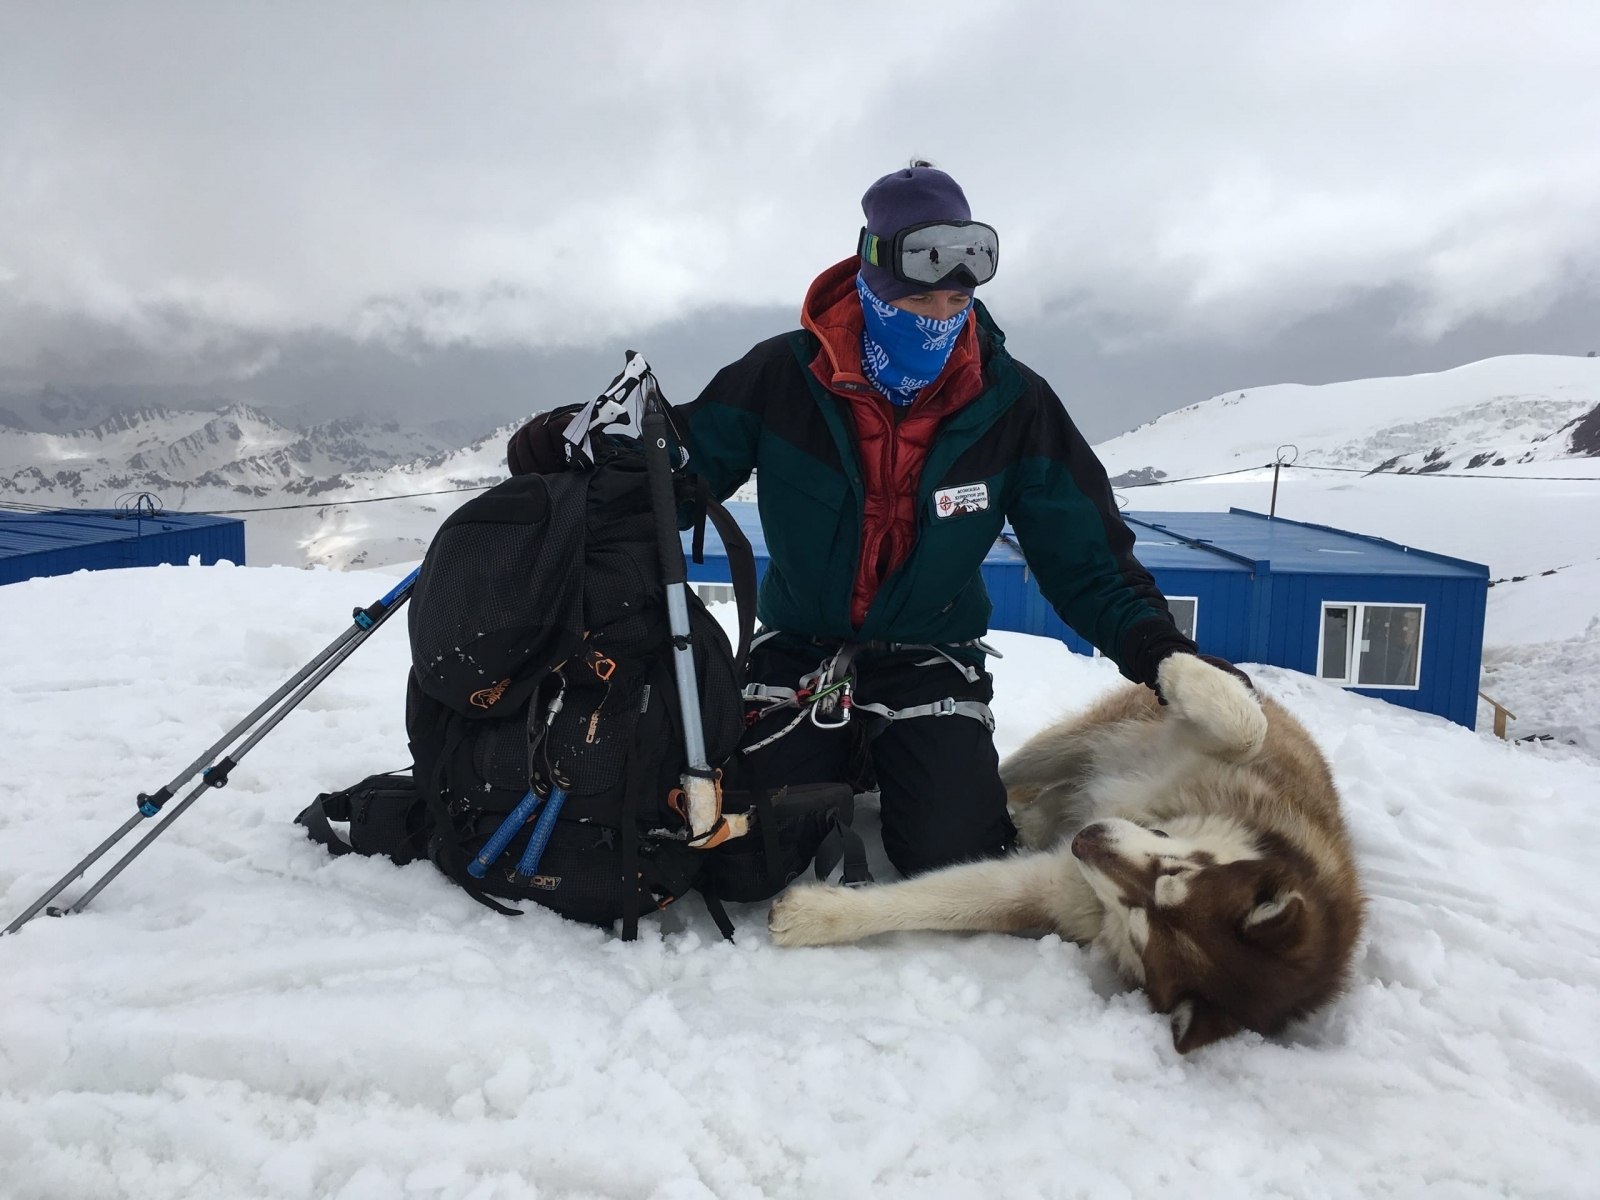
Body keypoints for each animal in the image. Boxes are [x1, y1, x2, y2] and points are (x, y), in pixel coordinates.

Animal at [771, 652, 1363, 1056]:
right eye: (1173, 870)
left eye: (1138, 923)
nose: (1086, 841)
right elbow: (1245, 730)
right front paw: (1179, 665)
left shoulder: (1060, 892)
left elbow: (940, 900)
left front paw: (814, 915)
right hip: (1073, 743)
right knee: (1014, 767)